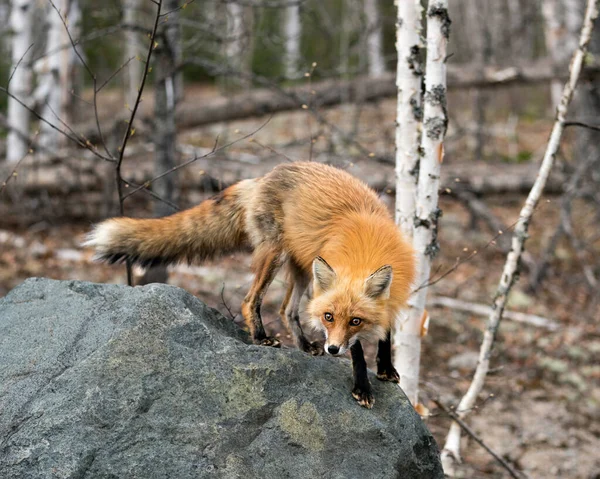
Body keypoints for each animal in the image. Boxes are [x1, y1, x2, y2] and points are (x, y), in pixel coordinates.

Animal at [84, 162, 414, 408]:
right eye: (329, 317)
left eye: (356, 320)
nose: (332, 349)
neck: (366, 250)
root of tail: (264, 176)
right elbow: (357, 351)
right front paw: (362, 387)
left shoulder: (394, 296)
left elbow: (384, 335)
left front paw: (386, 369)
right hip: (275, 255)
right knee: (250, 299)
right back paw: (261, 337)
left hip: (303, 268)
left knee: (286, 310)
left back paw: (304, 346)